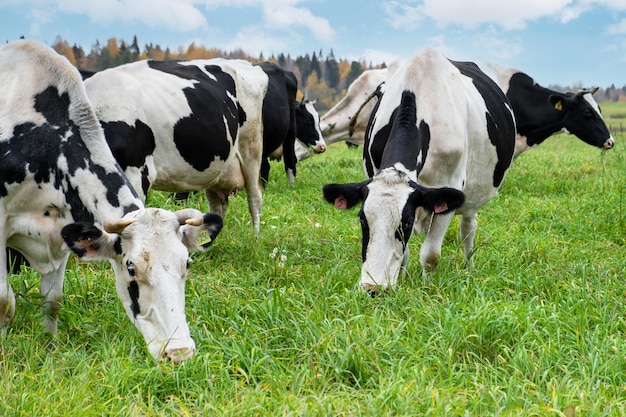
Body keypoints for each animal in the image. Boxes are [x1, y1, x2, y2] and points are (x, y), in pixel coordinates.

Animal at [0, 40, 224, 362]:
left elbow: (52, 301)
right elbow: (5, 302)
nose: (179, 352)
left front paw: (49, 348)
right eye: (131, 268)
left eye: (187, 263)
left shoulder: (63, 228)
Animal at [324, 48, 516, 290]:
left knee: (468, 228)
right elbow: (404, 253)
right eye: (362, 218)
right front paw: (401, 280)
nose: (372, 288)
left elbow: (431, 254)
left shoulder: (448, 192)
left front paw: (427, 287)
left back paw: (468, 266)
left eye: (405, 222)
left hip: (472, 197)